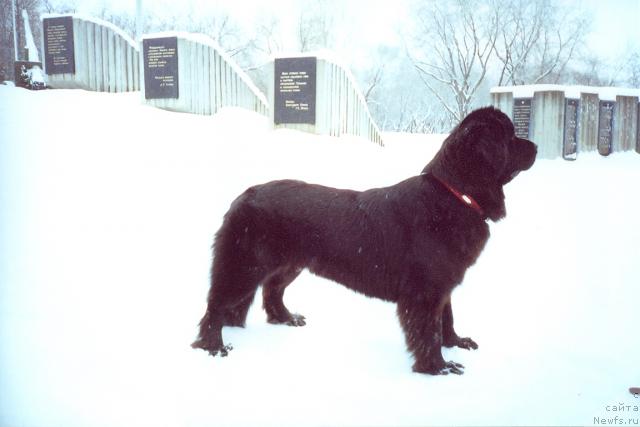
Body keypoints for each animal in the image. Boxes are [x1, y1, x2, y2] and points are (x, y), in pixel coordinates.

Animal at [192, 107, 536, 374]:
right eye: (509, 137)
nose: (534, 145)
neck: (454, 195)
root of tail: (243, 195)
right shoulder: (424, 291)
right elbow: (428, 332)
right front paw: (438, 368)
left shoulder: (444, 284)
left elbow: (446, 319)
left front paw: (456, 343)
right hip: (244, 265)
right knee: (216, 305)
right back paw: (213, 346)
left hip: (288, 264)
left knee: (269, 292)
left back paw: (286, 319)